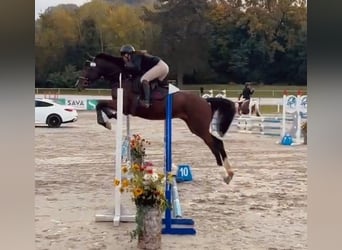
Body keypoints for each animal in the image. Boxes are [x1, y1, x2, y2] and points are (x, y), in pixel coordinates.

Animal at [75, 53, 236, 184]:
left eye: (88, 69)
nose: (78, 85)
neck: (122, 78)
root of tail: (205, 101)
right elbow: (103, 107)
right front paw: (110, 117)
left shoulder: (124, 106)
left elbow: (99, 104)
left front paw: (106, 122)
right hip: (197, 127)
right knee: (219, 142)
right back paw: (230, 173)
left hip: (198, 127)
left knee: (213, 144)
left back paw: (223, 173)